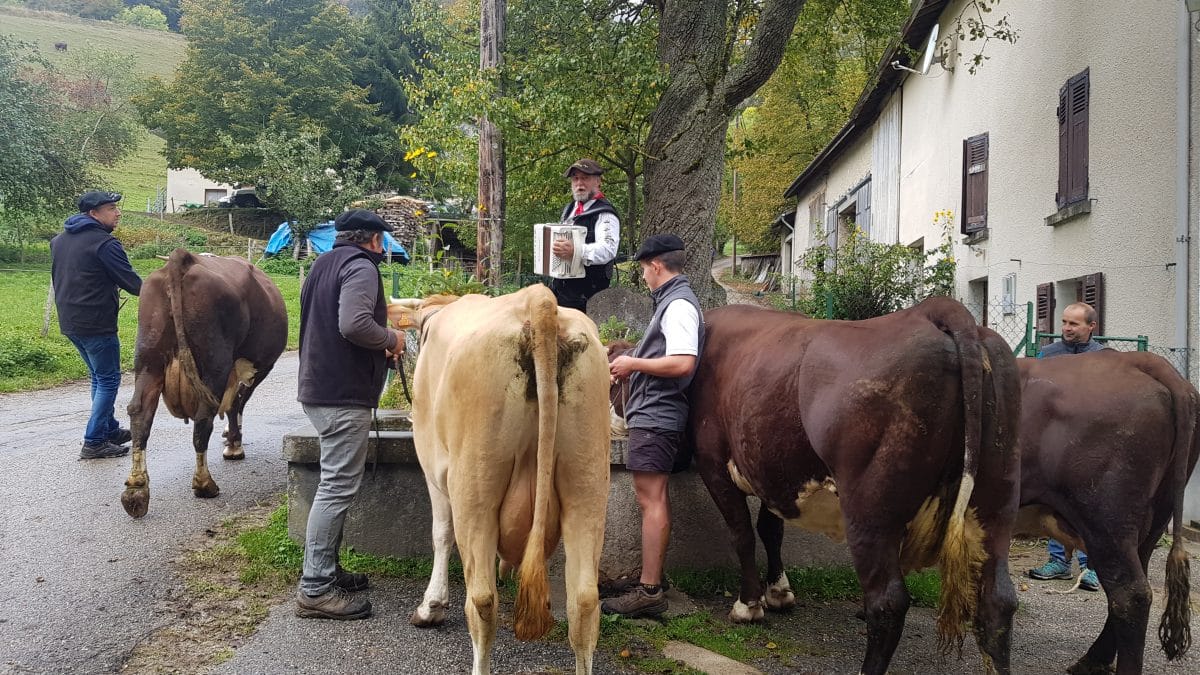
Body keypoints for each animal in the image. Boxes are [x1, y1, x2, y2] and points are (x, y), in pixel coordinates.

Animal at [118, 247, 288, 514]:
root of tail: (182, 258)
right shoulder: (254, 369)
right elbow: (237, 404)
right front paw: (234, 444)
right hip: (214, 363)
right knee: (203, 419)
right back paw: (204, 484)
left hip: (148, 358)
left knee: (140, 414)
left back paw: (136, 491)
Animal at [391, 283, 614, 672]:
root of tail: (539, 300)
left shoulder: (434, 468)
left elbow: (440, 534)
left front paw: (431, 606)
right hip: (588, 480)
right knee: (585, 602)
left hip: (474, 485)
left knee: (481, 600)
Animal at [686, 299, 1022, 672]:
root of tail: (933, 309)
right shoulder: (771, 470)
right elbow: (771, 530)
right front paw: (778, 592)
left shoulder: (713, 460)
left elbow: (742, 533)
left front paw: (748, 605)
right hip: (997, 498)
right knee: (998, 600)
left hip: (871, 507)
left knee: (888, 602)